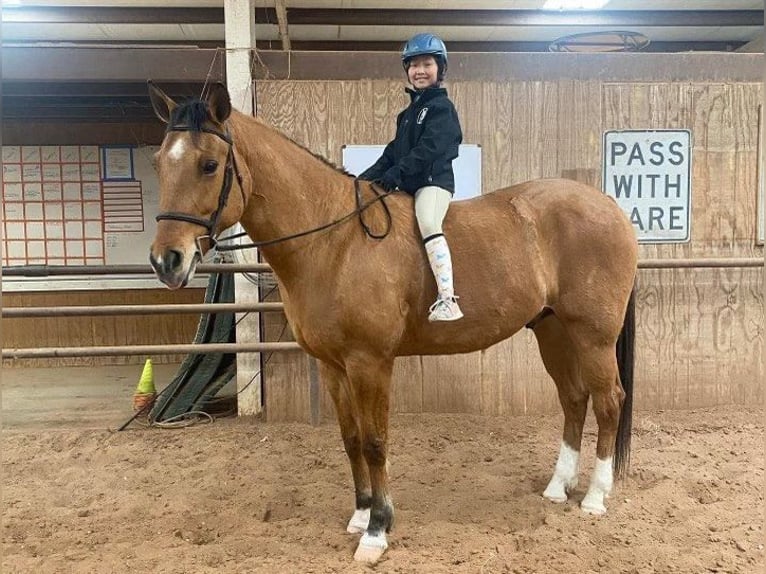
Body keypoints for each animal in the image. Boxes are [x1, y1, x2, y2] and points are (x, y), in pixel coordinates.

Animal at [147, 82, 638, 564]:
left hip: (593, 337)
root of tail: (609, 207)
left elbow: (375, 442)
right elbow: (350, 439)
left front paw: (377, 531)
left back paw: (595, 497)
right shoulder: (333, 365)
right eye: (158, 163)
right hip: (554, 331)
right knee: (574, 399)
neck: (335, 240)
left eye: (209, 165)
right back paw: (557, 488)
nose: (167, 261)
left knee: (608, 401)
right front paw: (361, 515)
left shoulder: (371, 362)